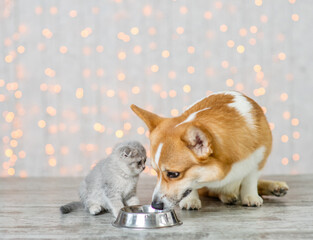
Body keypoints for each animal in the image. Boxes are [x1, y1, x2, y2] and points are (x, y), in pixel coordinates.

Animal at [130, 91, 288, 209]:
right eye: (155, 172)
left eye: (173, 174)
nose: (155, 205)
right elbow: (191, 186)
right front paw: (190, 200)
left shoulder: (258, 160)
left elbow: (250, 179)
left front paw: (250, 197)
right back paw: (228, 195)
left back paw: (275, 187)